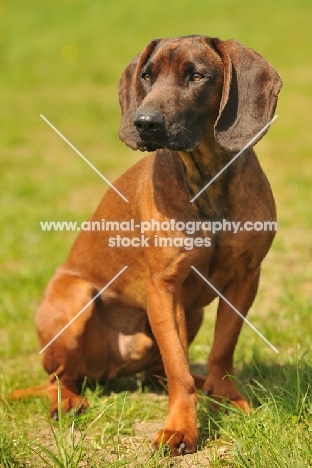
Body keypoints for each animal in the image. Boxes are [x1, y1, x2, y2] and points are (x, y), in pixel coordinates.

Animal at [33, 36, 282, 458]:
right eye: (147, 76)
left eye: (197, 76)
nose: (144, 122)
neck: (206, 179)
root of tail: (108, 370)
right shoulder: (164, 288)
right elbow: (178, 368)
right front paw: (180, 428)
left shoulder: (246, 278)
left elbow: (221, 350)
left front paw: (226, 397)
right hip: (74, 298)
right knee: (60, 379)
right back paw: (68, 402)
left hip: (191, 313)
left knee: (161, 367)